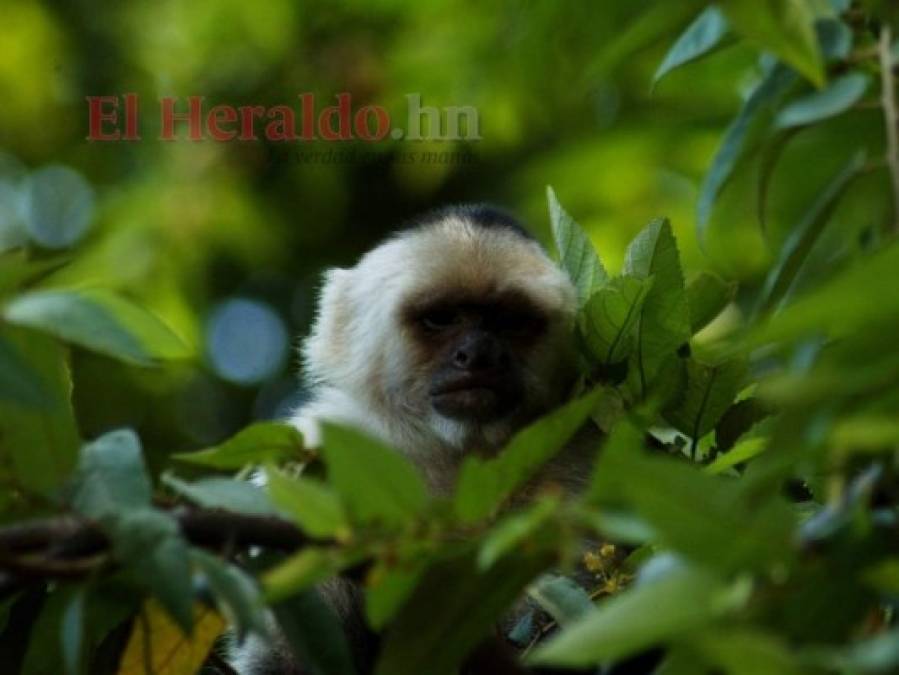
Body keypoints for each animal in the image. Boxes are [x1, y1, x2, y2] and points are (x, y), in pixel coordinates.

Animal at [229, 205, 588, 675]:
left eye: (510, 321)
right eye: (441, 318)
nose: (479, 354)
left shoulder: (579, 454)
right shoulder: (311, 465)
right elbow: (283, 659)